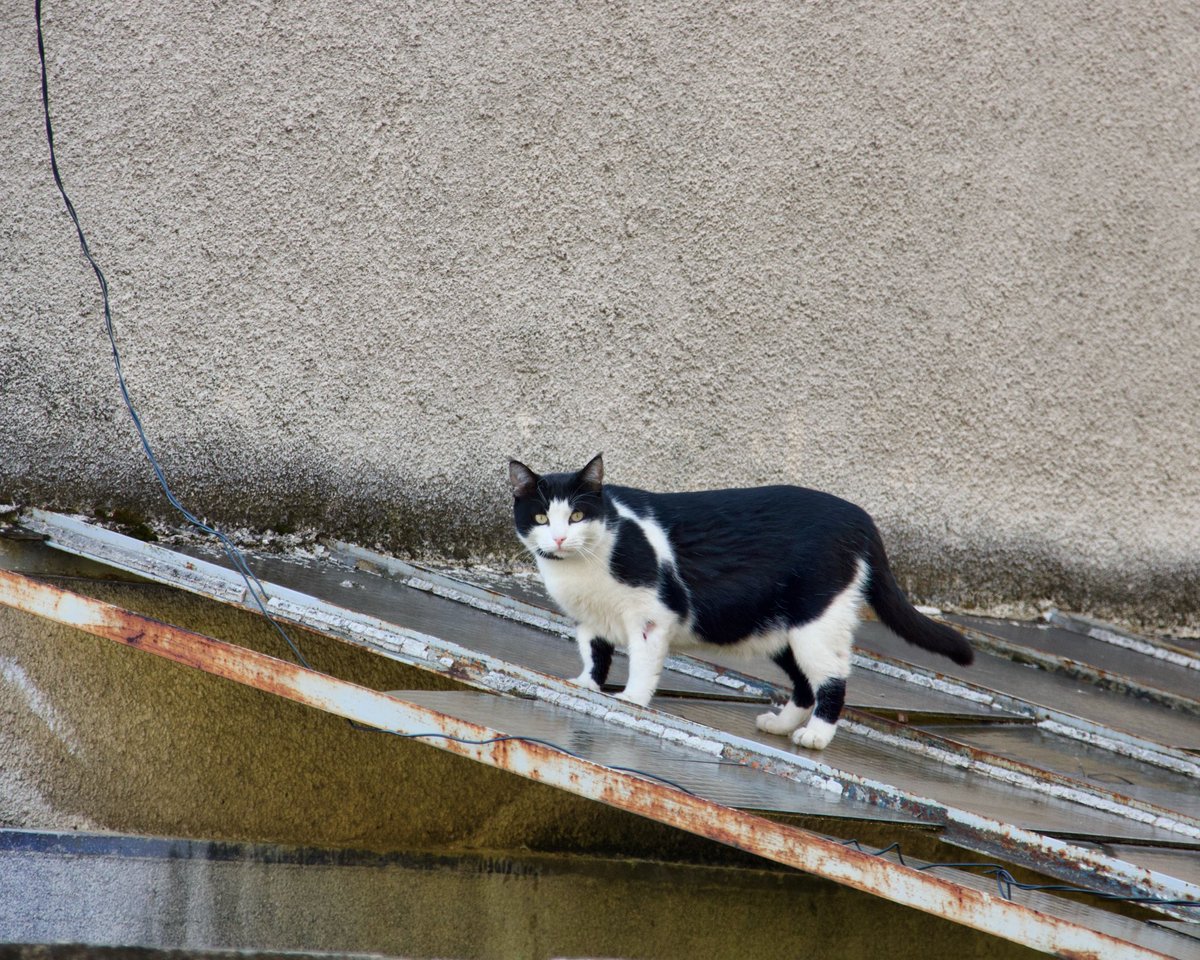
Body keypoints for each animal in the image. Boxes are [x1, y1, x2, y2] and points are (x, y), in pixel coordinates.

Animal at [506, 456, 974, 748]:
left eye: (578, 516)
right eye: (541, 517)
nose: (559, 538)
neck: (582, 566)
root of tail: (860, 518)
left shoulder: (652, 616)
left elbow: (641, 662)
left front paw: (632, 700)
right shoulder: (587, 620)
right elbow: (595, 653)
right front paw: (586, 685)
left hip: (816, 621)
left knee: (833, 680)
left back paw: (816, 736)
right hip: (781, 628)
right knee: (804, 683)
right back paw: (781, 724)